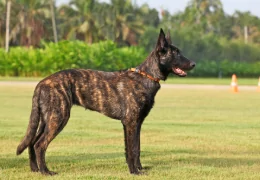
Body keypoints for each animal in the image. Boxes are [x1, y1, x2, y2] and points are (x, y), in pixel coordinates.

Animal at [16, 28, 195, 175]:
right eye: (176, 53)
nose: (193, 64)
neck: (146, 76)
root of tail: (41, 83)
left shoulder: (136, 124)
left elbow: (135, 148)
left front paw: (138, 168)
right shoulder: (131, 123)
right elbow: (132, 150)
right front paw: (134, 172)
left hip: (46, 120)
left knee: (32, 142)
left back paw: (35, 169)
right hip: (58, 119)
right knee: (40, 144)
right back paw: (45, 171)